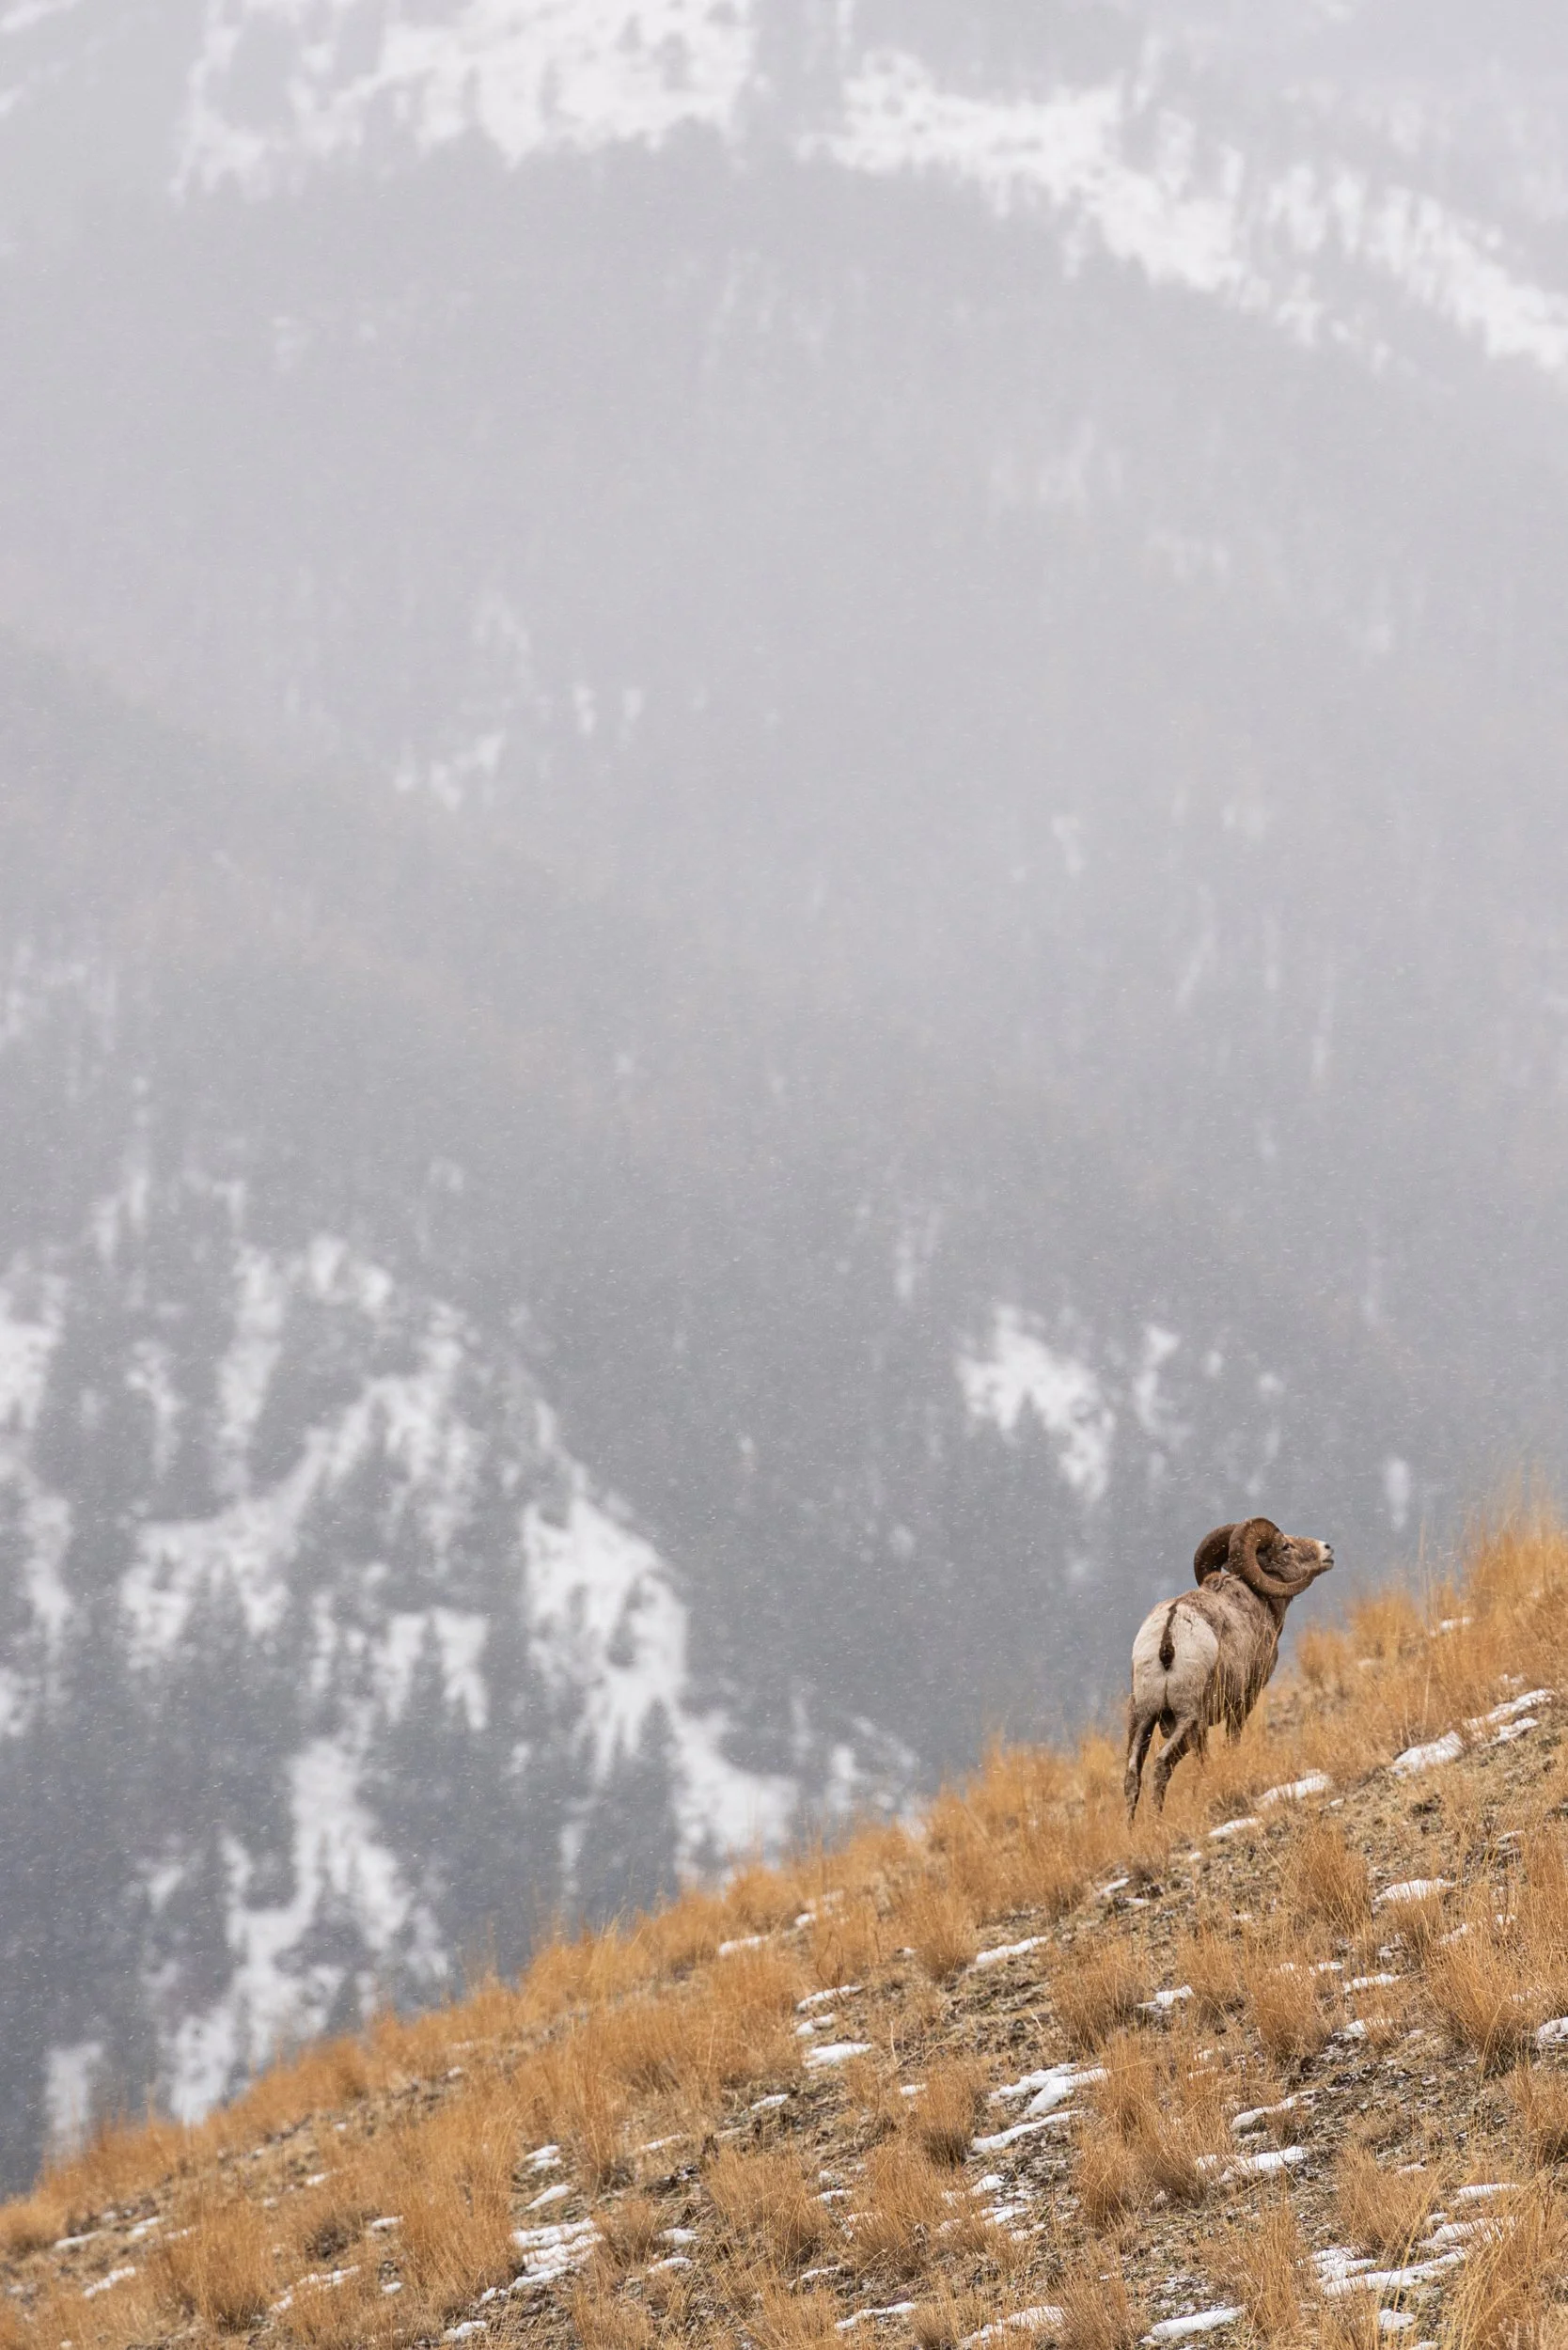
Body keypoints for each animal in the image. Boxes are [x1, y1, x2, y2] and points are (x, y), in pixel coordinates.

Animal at [1124, 1516, 1334, 1821]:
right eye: (1286, 1546)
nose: (1326, 1549)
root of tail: (1169, 1632)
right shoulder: (1244, 1700)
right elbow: (1232, 1740)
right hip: (1189, 1718)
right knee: (1165, 1763)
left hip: (1143, 1717)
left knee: (1132, 1774)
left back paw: (1133, 1828)